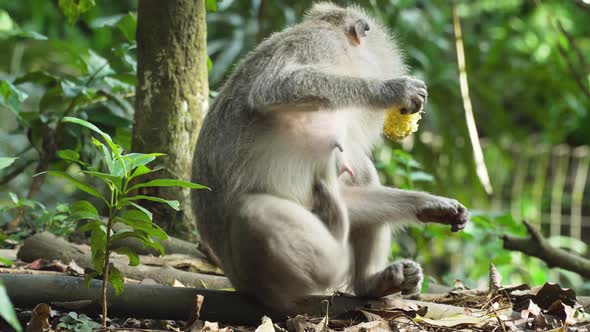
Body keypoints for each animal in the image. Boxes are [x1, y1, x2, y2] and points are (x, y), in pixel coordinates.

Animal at [194, 1, 472, 312]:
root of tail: (235, 281)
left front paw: (430, 205)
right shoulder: (320, 44)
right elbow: (274, 87)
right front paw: (391, 90)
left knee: (359, 173)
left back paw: (371, 283)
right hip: (252, 272)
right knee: (254, 211)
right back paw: (338, 255)